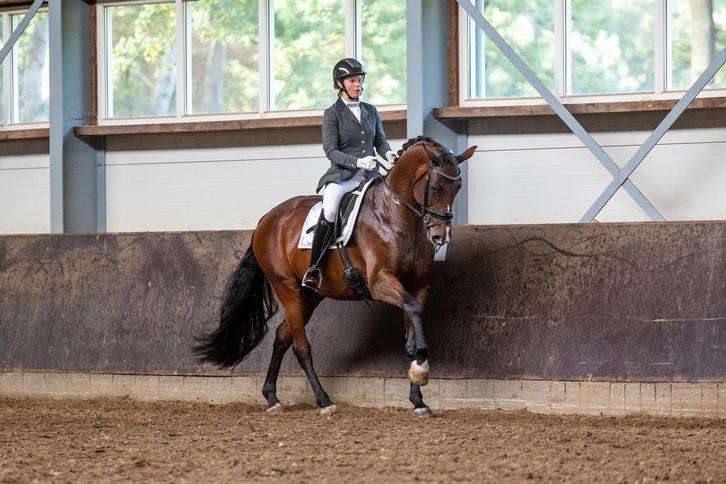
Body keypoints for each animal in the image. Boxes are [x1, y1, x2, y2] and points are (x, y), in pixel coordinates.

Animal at [194, 136, 476, 417]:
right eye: (437, 187)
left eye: (458, 187)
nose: (440, 236)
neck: (397, 216)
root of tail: (267, 219)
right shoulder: (380, 281)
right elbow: (413, 309)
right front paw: (420, 366)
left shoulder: (415, 285)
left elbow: (412, 321)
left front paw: (418, 397)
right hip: (286, 287)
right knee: (301, 346)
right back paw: (324, 400)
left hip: (309, 295)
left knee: (282, 336)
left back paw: (272, 397)